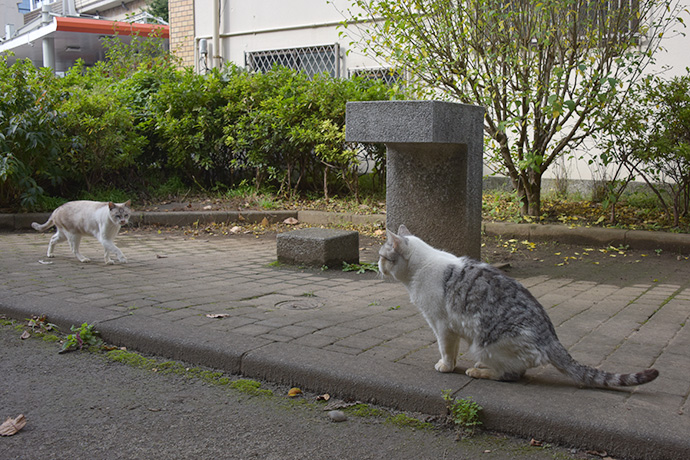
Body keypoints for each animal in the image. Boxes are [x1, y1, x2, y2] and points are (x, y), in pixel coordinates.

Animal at [378, 225, 660, 386]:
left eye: (383, 256)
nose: (377, 265)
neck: (418, 269)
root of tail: (550, 338)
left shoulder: (442, 326)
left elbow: (447, 350)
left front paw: (445, 367)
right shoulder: (448, 327)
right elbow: (451, 350)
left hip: (483, 344)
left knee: (512, 375)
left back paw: (479, 371)